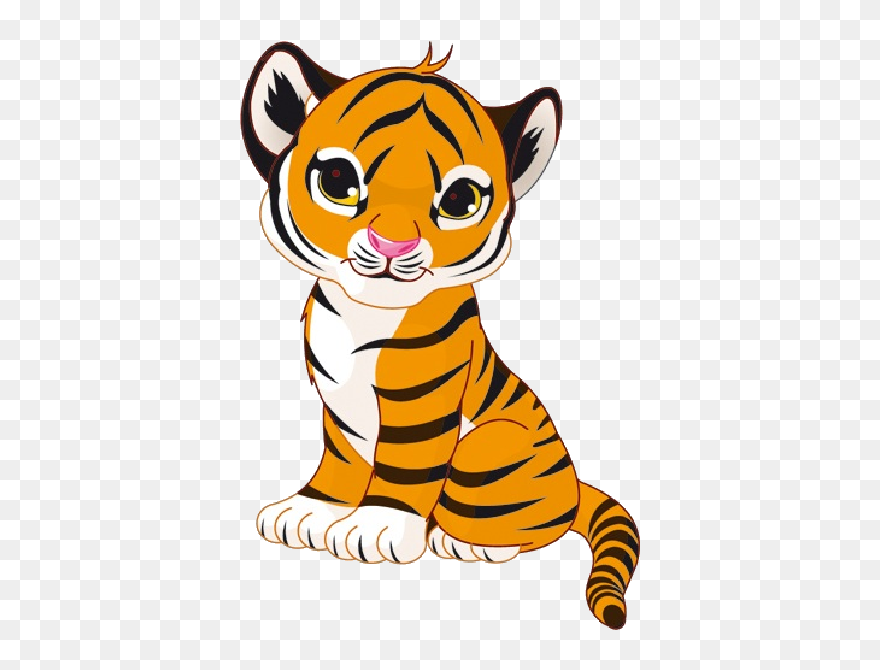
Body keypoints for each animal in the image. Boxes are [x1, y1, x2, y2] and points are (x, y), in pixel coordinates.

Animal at [241, 42, 640, 630]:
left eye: (460, 200)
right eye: (338, 181)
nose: (392, 244)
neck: (362, 314)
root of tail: (572, 484)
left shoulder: (423, 400)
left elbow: (406, 465)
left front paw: (375, 526)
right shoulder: (335, 401)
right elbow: (341, 456)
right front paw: (314, 509)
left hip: (491, 446)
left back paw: (467, 543)